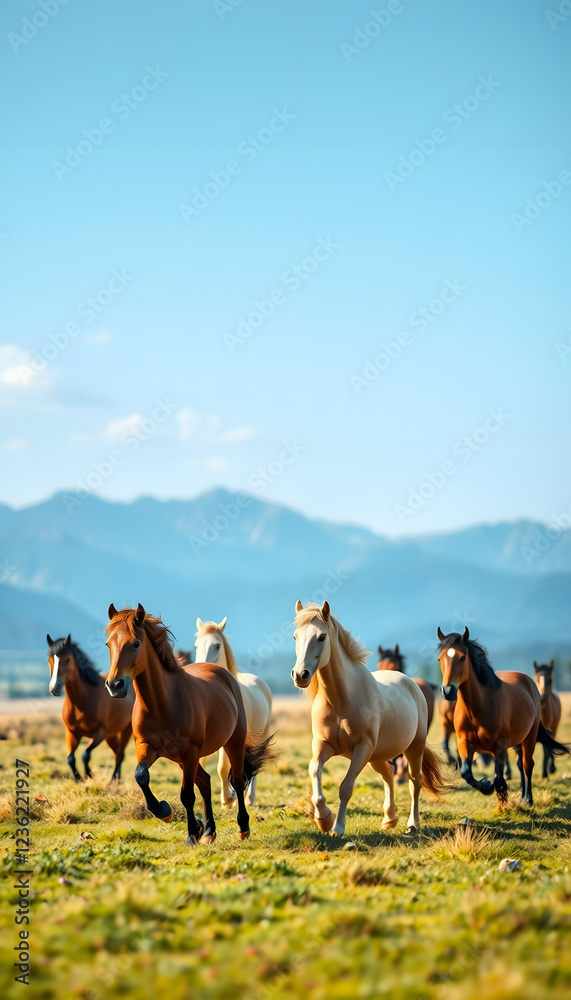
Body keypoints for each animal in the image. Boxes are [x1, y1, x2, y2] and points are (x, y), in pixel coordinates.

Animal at [46, 634, 133, 782]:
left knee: (120, 755)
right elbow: (70, 759)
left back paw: (113, 781)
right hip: (111, 735)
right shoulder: (72, 733)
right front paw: (79, 779)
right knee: (117, 753)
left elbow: (85, 755)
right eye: (49, 659)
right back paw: (117, 780)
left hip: (126, 730)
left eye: (68, 659)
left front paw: (89, 775)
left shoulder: (99, 733)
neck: (83, 702)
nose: (54, 688)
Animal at [437, 627, 569, 805]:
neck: (477, 710)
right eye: (439, 659)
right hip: (516, 742)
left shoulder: (499, 747)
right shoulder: (464, 743)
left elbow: (499, 779)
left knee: (527, 765)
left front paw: (501, 795)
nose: (448, 691)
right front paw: (486, 785)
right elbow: (466, 773)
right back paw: (522, 796)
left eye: (463, 657)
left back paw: (528, 799)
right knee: (520, 764)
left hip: (529, 737)